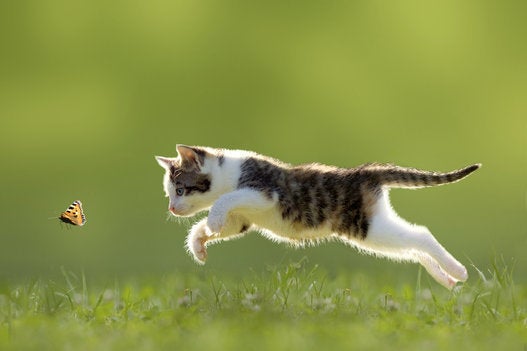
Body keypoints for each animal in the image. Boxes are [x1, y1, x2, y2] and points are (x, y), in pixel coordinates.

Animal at [155, 144, 480, 290]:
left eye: (181, 190)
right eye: (169, 193)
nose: (171, 208)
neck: (228, 173)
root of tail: (364, 173)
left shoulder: (264, 192)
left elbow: (224, 201)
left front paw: (211, 221)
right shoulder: (242, 220)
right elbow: (218, 224)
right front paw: (199, 244)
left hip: (368, 227)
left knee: (421, 235)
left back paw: (458, 271)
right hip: (374, 231)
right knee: (412, 248)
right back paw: (446, 278)